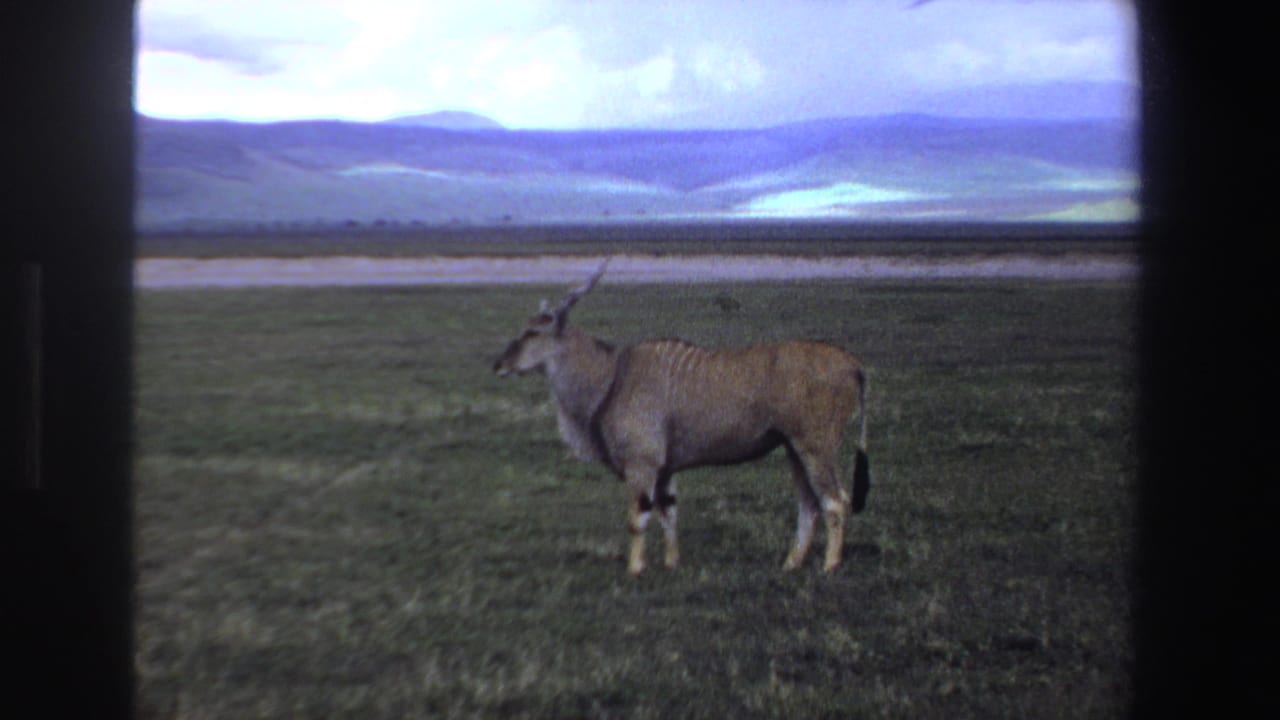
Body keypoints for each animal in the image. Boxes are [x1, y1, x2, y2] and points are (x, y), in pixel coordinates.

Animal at [492, 261, 870, 575]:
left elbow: (639, 518)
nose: (499, 364)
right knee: (809, 504)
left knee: (836, 501)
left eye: (533, 333)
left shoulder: (642, 465)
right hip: (793, 448)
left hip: (815, 447)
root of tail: (853, 364)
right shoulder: (664, 470)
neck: (613, 376)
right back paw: (792, 563)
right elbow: (668, 513)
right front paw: (672, 563)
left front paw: (636, 569)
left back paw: (830, 565)